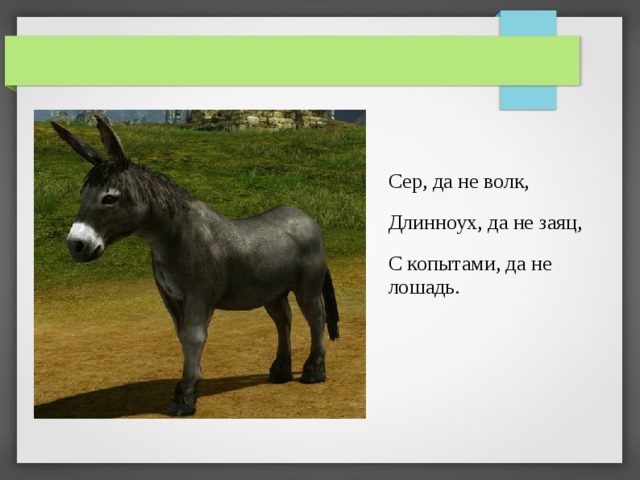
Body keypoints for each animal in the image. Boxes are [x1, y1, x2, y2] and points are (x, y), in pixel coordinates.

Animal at [52, 117, 339, 416]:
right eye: (83, 194)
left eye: (109, 198)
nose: (76, 244)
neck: (175, 237)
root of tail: (307, 218)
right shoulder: (171, 298)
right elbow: (182, 336)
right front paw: (187, 388)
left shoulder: (199, 296)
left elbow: (194, 337)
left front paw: (185, 398)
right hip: (272, 292)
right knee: (284, 320)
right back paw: (280, 372)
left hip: (306, 288)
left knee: (316, 318)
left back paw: (314, 372)